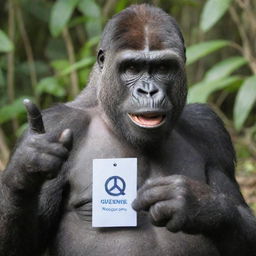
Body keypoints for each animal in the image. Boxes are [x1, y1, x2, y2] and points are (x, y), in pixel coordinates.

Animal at [0, 4, 256, 256]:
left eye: (163, 67)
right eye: (132, 68)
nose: (148, 91)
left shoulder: (211, 130)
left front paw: (198, 204)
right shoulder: (58, 123)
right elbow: (25, 244)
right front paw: (29, 166)